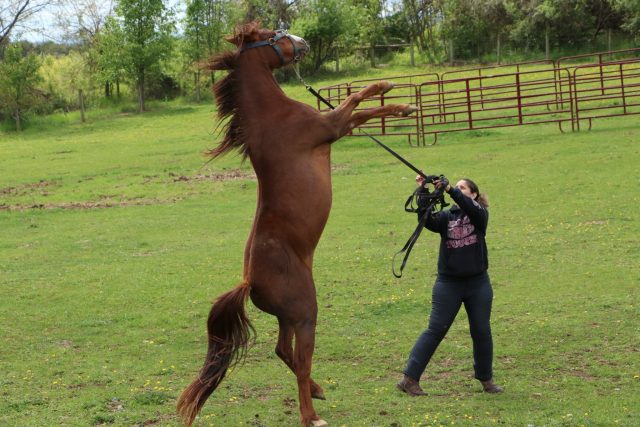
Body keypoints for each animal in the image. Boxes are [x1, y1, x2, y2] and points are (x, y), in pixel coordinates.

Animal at [177, 21, 417, 427]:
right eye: (270, 33)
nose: (302, 42)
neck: (276, 116)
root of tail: (249, 282)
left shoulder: (336, 126)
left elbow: (360, 107)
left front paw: (399, 101)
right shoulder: (331, 125)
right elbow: (358, 101)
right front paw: (397, 98)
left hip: (288, 317)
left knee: (281, 350)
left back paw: (318, 390)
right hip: (306, 313)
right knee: (300, 361)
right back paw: (311, 414)